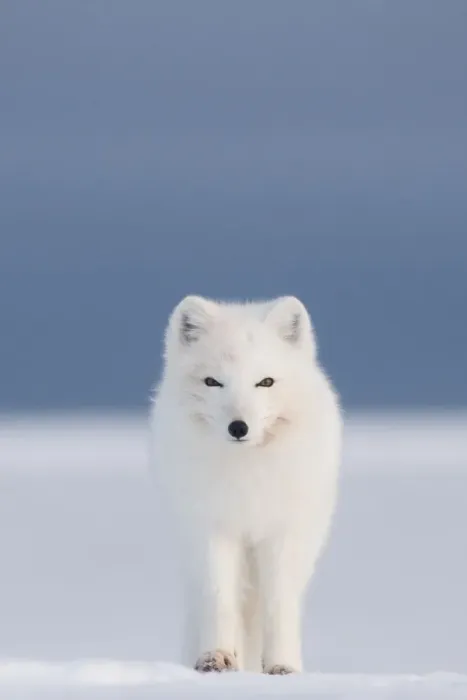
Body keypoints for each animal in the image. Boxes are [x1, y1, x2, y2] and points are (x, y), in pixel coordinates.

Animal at [149, 295, 342, 674]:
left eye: (265, 382)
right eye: (213, 382)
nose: (238, 427)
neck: (247, 477)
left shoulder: (284, 533)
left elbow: (279, 603)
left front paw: (282, 666)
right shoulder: (211, 529)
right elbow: (219, 598)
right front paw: (216, 657)